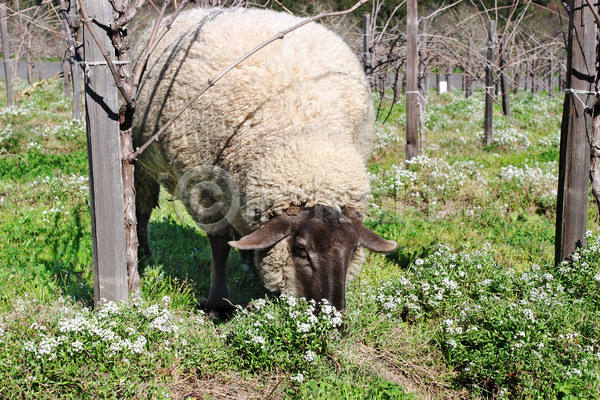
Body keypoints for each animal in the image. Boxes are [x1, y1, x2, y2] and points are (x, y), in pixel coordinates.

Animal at [132, 4, 396, 314]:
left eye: (354, 250)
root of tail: (199, 9)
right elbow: (219, 246)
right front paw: (219, 303)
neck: (305, 130)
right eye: (301, 249)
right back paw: (143, 254)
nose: (333, 319)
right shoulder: (205, 190)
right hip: (140, 161)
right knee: (141, 209)